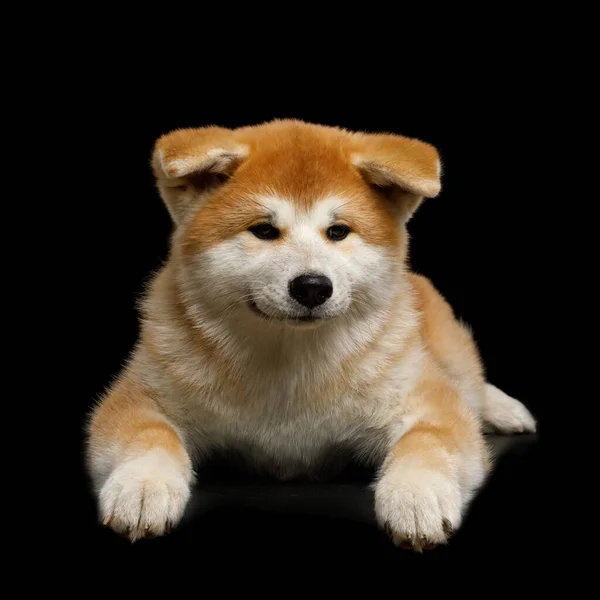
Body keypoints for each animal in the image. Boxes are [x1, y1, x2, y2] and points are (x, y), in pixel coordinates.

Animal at [84, 119, 536, 552]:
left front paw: (416, 495)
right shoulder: (140, 394)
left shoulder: (424, 399)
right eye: (264, 230)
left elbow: (429, 439)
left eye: (337, 232)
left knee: (467, 385)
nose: (313, 286)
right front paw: (142, 485)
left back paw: (505, 409)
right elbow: (149, 433)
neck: (290, 360)